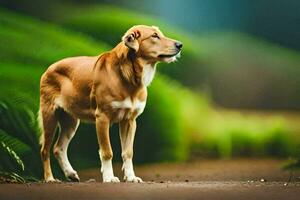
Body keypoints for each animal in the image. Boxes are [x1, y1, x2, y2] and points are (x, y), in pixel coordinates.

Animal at [38, 24, 182, 182]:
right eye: (154, 36)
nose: (180, 45)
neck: (129, 77)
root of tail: (49, 68)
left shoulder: (130, 120)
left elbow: (128, 152)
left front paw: (131, 177)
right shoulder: (102, 118)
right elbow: (107, 152)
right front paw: (109, 177)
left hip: (70, 121)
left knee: (59, 148)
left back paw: (71, 174)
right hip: (49, 115)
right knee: (45, 150)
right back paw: (49, 178)